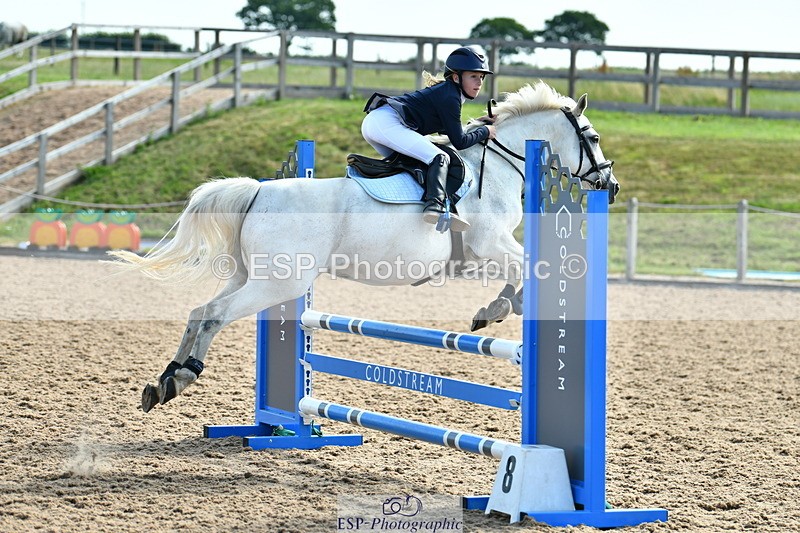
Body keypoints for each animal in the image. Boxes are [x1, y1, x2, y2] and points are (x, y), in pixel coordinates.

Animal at [108, 81, 618, 413]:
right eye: (593, 136)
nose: (610, 187)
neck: (499, 165)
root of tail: (257, 192)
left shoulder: (478, 254)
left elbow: (523, 270)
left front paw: (497, 307)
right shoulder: (488, 241)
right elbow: (526, 267)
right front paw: (495, 310)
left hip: (250, 275)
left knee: (199, 310)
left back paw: (165, 382)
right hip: (279, 283)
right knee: (214, 314)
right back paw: (184, 374)